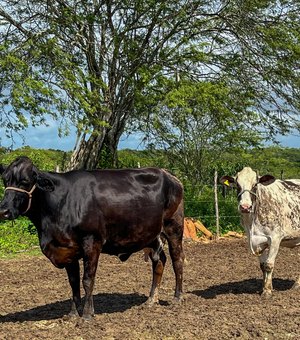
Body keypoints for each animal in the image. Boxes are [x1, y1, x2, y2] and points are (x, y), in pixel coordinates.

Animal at [0, 156, 185, 318]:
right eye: (5, 181)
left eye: (25, 181)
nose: (4, 211)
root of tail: (168, 174)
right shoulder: (68, 248)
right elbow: (73, 282)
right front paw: (73, 313)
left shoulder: (92, 241)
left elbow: (88, 280)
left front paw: (88, 314)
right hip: (151, 234)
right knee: (159, 260)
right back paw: (151, 300)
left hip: (173, 226)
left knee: (177, 259)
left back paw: (177, 298)